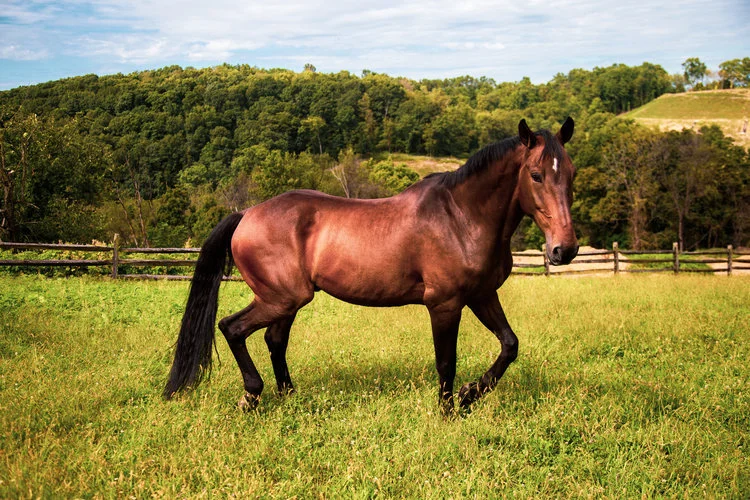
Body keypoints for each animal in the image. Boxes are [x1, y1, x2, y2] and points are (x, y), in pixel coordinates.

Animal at [164, 117, 578, 414]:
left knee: (274, 340)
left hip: (286, 300)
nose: (565, 250)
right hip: (280, 299)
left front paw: (468, 395)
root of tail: (246, 213)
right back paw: (252, 396)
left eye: (571, 174)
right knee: (232, 328)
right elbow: (446, 361)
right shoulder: (445, 303)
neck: (461, 216)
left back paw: (290, 398)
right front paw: (448, 411)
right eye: (536, 175)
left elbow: (509, 345)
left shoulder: (482, 295)